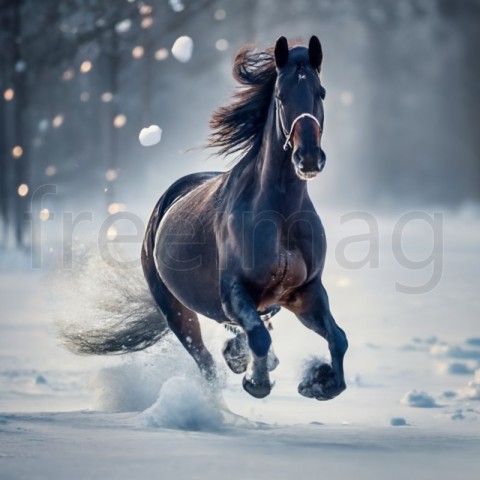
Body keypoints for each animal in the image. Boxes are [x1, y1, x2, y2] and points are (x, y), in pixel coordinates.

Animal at [60, 34, 346, 402]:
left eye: (320, 92)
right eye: (281, 96)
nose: (308, 157)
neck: (280, 212)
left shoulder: (304, 292)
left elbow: (338, 338)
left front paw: (319, 382)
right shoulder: (235, 292)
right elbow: (259, 337)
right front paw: (257, 382)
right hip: (177, 312)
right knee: (207, 363)